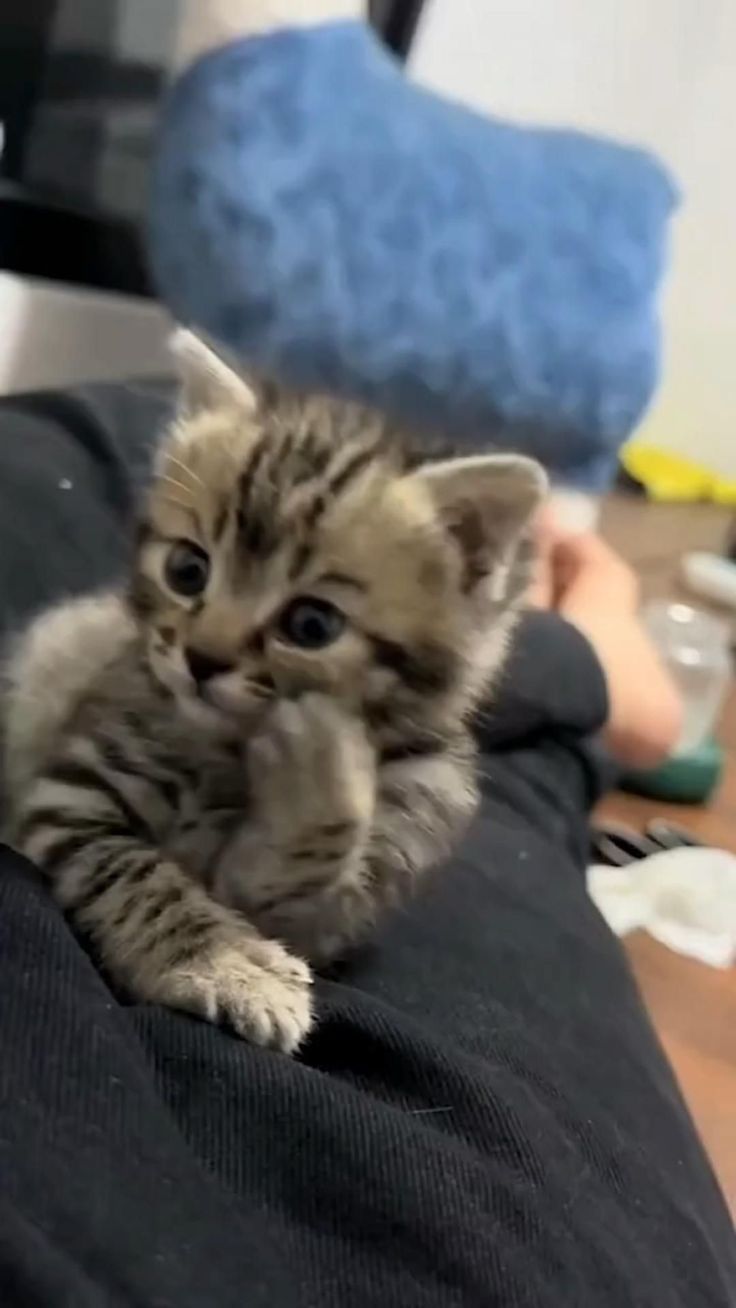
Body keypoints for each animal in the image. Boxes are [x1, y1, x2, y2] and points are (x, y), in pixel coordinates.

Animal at [1, 329, 546, 1051]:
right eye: (187, 569)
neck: (225, 755)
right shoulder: (75, 794)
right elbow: (140, 877)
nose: (201, 659)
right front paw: (227, 963)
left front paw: (316, 770)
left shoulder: (354, 886)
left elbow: (288, 877)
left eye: (311, 626)